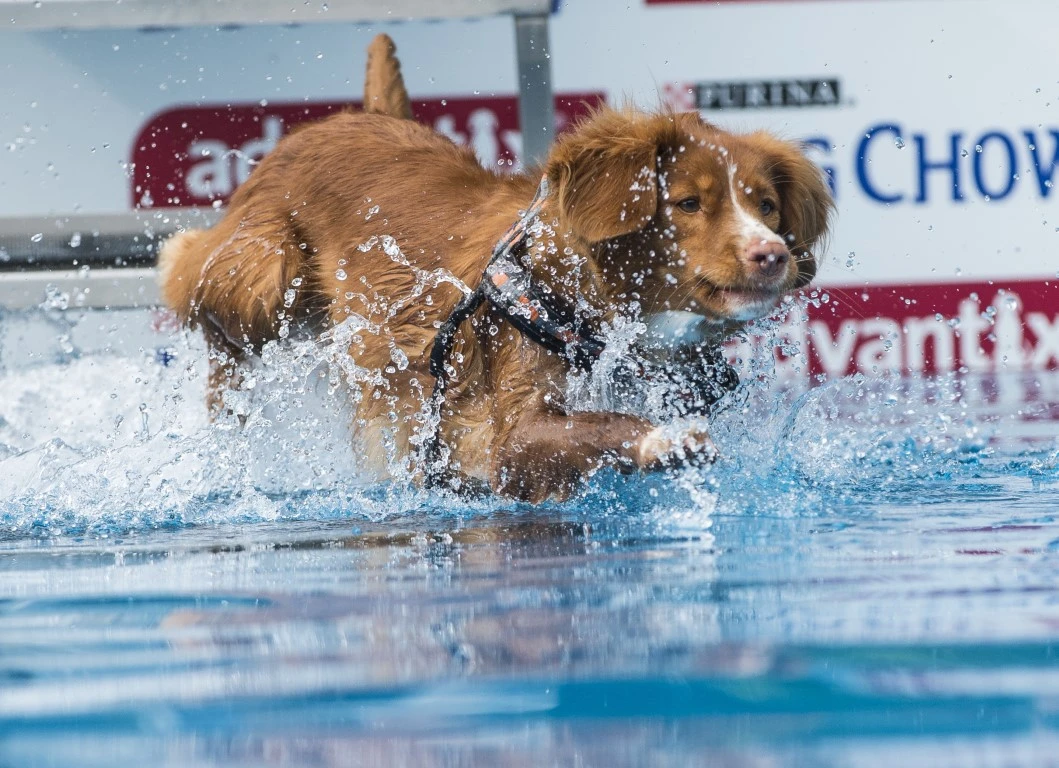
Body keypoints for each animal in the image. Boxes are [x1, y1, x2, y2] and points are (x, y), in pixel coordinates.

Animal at [159, 35, 833, 502]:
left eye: (766, 207)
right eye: (689, 204)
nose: (771, 256)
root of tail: (358, 114)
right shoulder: (511, 426)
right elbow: (596, 425)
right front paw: (663, 439)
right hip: (263, 276)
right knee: (193, 280)